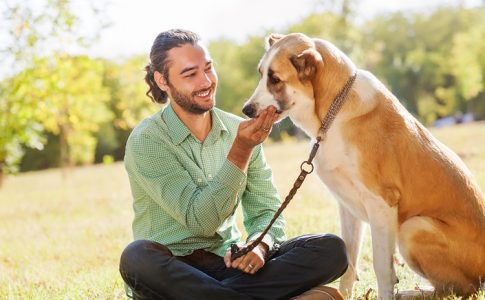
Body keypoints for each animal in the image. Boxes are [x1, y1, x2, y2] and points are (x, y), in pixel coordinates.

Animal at [242, 31, 484, 298]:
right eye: (261, 73)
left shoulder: (381, 204)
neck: (333, 112)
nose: (246, 109)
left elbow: (382, 268)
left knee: (462, 288)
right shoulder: (348, 207)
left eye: (275, 79)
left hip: (413, 227)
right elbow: (349, 263)